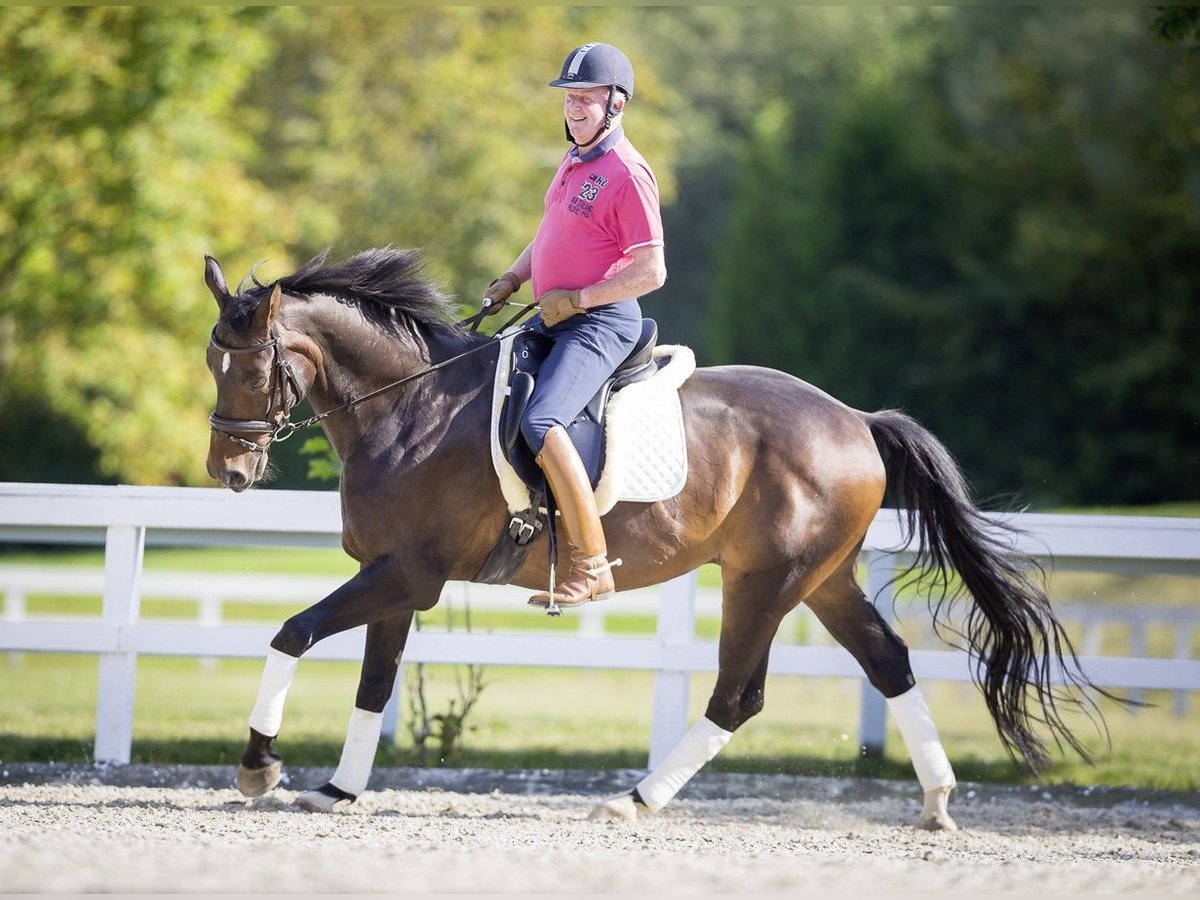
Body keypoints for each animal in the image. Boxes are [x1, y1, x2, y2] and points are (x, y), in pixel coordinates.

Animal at [204, 247, 1104, 830]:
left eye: (249, 366)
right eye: (215, 364)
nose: (228, 470)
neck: (410, 406)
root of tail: (855, 419)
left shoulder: (407, 574)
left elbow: (292, 633)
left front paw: (258, 766)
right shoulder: (394, 576)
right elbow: (374, 684)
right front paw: (338, 790)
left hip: (764, 582)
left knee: (738, 697)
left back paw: (636, 799)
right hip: (824, 580)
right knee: (888, 662)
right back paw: (938, 803)